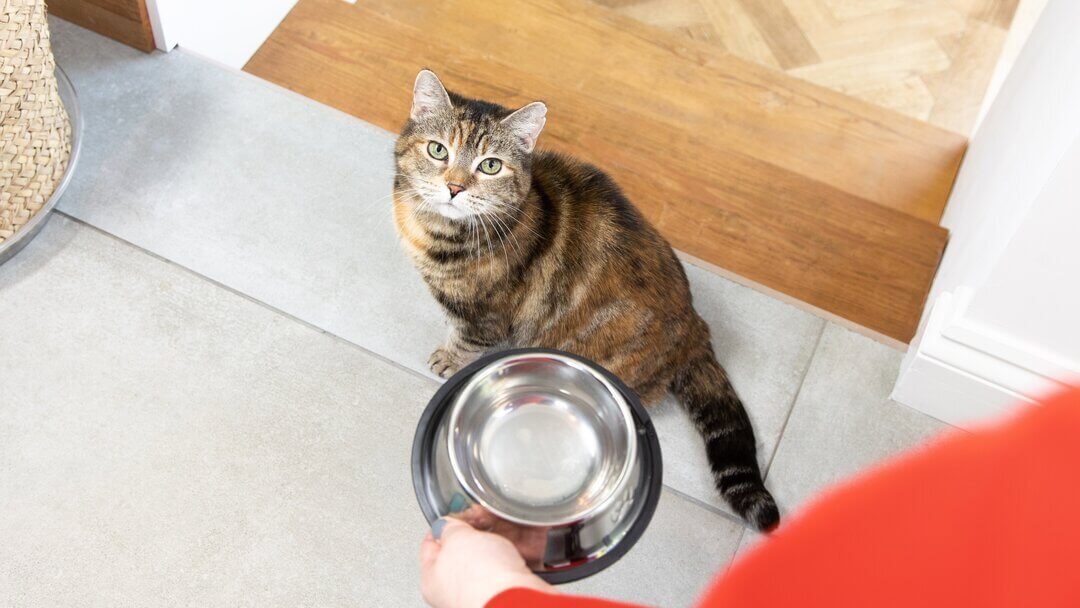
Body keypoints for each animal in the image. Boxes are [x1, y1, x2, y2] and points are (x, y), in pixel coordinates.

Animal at [393, 69, 781, 531]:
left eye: (490, 165)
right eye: (438, 150)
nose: (454, 187)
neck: (436, 232)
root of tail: (696, 327)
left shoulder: (487, 316)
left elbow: (468, 338)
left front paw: (448, 358)